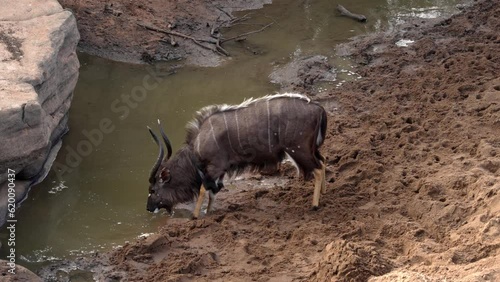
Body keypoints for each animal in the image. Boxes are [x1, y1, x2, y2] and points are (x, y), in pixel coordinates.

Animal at [147, 92, 328, 218]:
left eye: (153, 190)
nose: (148, 208)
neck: (197, 146)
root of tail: (319, 109)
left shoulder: (215, 168)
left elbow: (203, 189)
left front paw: (195, 216)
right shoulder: (219, 173)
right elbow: (213, 191)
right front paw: (209, 213)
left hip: (299, 150)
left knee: (318, 168)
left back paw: (315, 205)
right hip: (310, 150)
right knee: (324, 161)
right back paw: (323, 194)